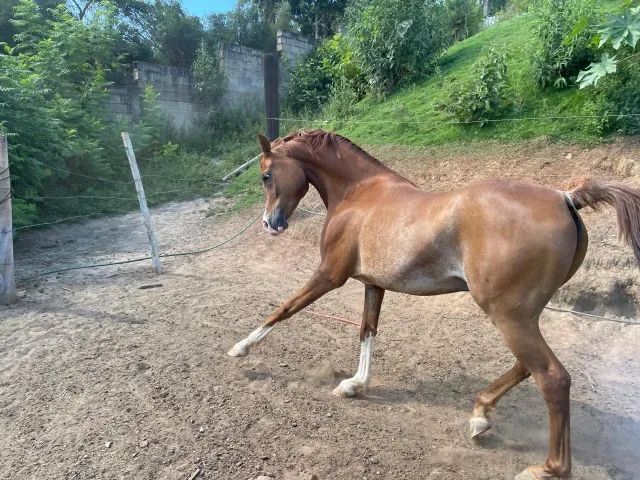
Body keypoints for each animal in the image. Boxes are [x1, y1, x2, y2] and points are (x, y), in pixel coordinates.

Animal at [227, 129, 640, 479]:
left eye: (266, 175)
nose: (270, 224)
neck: (358, 193)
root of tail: (565, 198)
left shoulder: (329, 276)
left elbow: (285, 308)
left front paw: (239, 349)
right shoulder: (373, 285)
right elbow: (367, 331)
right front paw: (355, 385)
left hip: (508, 316)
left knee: (552, 378)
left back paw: (547, 468)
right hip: (521, 316)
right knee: (528, 367)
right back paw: (479, 417)